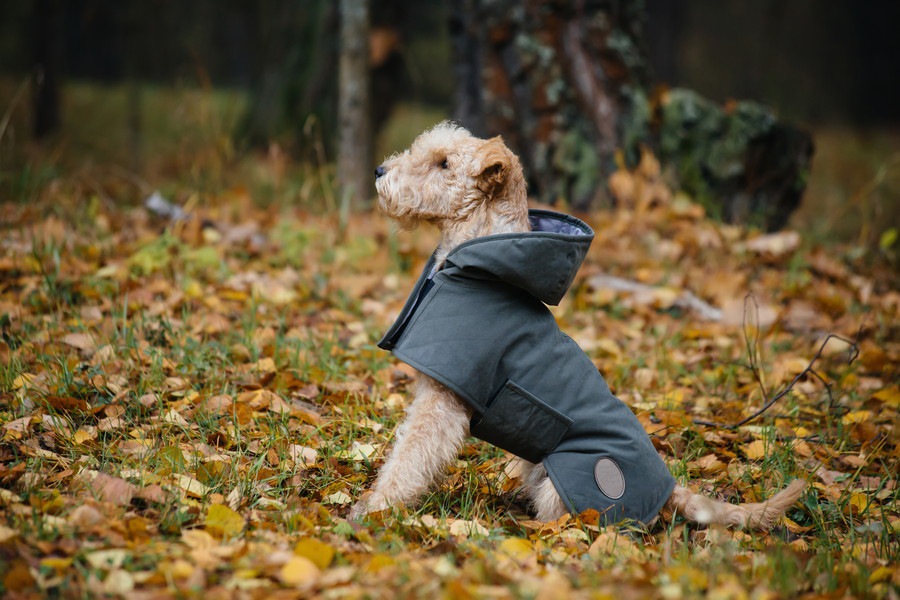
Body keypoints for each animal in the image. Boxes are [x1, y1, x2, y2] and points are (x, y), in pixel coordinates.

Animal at [348, 123, 804, 528]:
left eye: (443, 162)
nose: (380, 172)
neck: (477, 266)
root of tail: (669, 491)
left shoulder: (442, 400)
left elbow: (408, 458)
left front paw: (375, 509)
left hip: (572, 480)